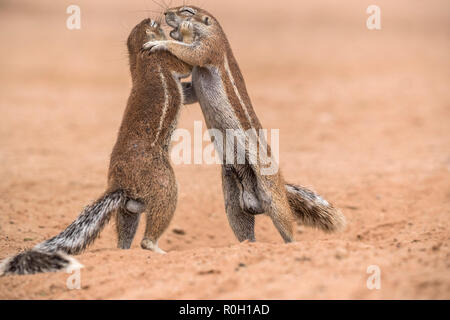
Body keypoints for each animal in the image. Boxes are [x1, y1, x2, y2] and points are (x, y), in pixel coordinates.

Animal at [0, 19, 191, 276]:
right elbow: (186, 66)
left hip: (129, 207)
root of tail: (119, 184)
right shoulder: (165, 60)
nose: (159, 19)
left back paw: (124, 251)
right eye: (151, 23)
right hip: (163, 183)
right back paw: (156, 248)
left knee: (126, 228)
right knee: (152, 228)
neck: (138, 57)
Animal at [142, 6, 346, 242]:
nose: (166, 13)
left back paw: (290, 243)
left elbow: (191, 52)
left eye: (187, 10)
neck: (215, 33)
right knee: (243, 226)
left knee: (285, 222)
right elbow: (189, 92)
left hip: (271, 193)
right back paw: (247, 244)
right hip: (232, 197)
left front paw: (164, 41)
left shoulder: (209, 48)